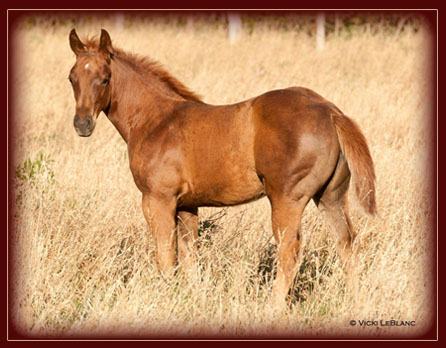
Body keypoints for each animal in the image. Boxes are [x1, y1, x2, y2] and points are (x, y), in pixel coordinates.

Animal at [69, 29, 376, 302]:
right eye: (72, 78)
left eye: (105, 79)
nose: (82, 125)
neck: (156, 120)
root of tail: (331, 111)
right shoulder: (187, 205)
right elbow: (189, 255)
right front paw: (190, 298)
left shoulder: (157, 199)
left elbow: (166, 255)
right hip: (330, 196)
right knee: (346, 243)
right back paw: (354, 302)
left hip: (287, 199)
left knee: (289, 251)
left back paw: (272, 307)